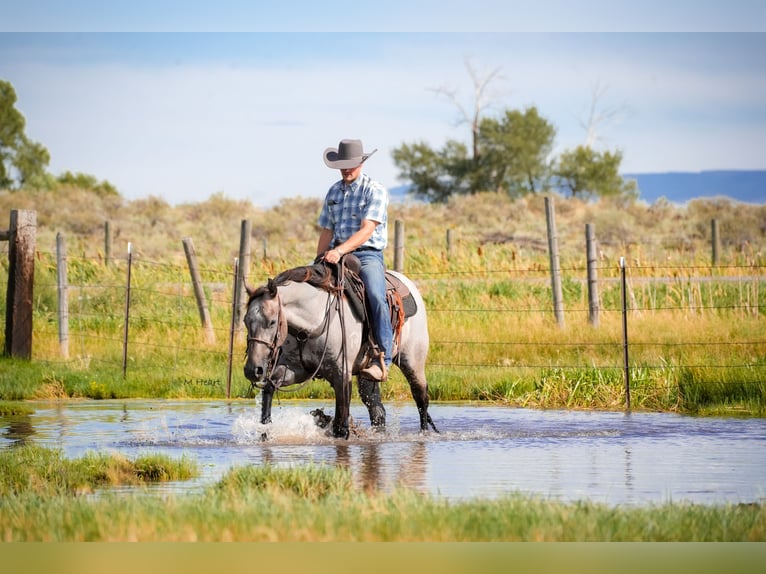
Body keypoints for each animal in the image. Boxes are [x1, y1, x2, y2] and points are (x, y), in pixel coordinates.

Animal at [243, 261, 438, 439]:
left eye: (272, 322)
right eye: (245, 321)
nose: (253, 370)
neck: (314, 320)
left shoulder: (341, 376)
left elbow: (341, 426)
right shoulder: (297, 369)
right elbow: (269, 387)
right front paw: (266, 430)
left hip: (412, 362)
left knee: (421, 398)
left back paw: (423, 434)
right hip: (366, 372)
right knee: (377, 410)